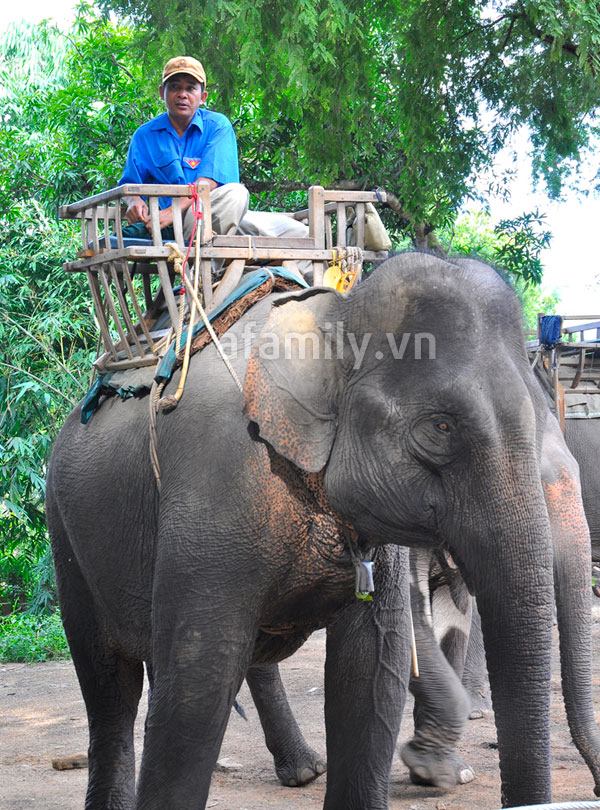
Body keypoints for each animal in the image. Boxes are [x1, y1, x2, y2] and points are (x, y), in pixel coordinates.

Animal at [45, 254, 600, 808]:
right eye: (441, 427)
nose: (594, 785)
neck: (335, 312)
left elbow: (374, 667)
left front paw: (439, 771)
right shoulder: (216, 479)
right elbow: (199, 676)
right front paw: (436, 770)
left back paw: (305, 770)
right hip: (64, 529)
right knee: (110, 686)